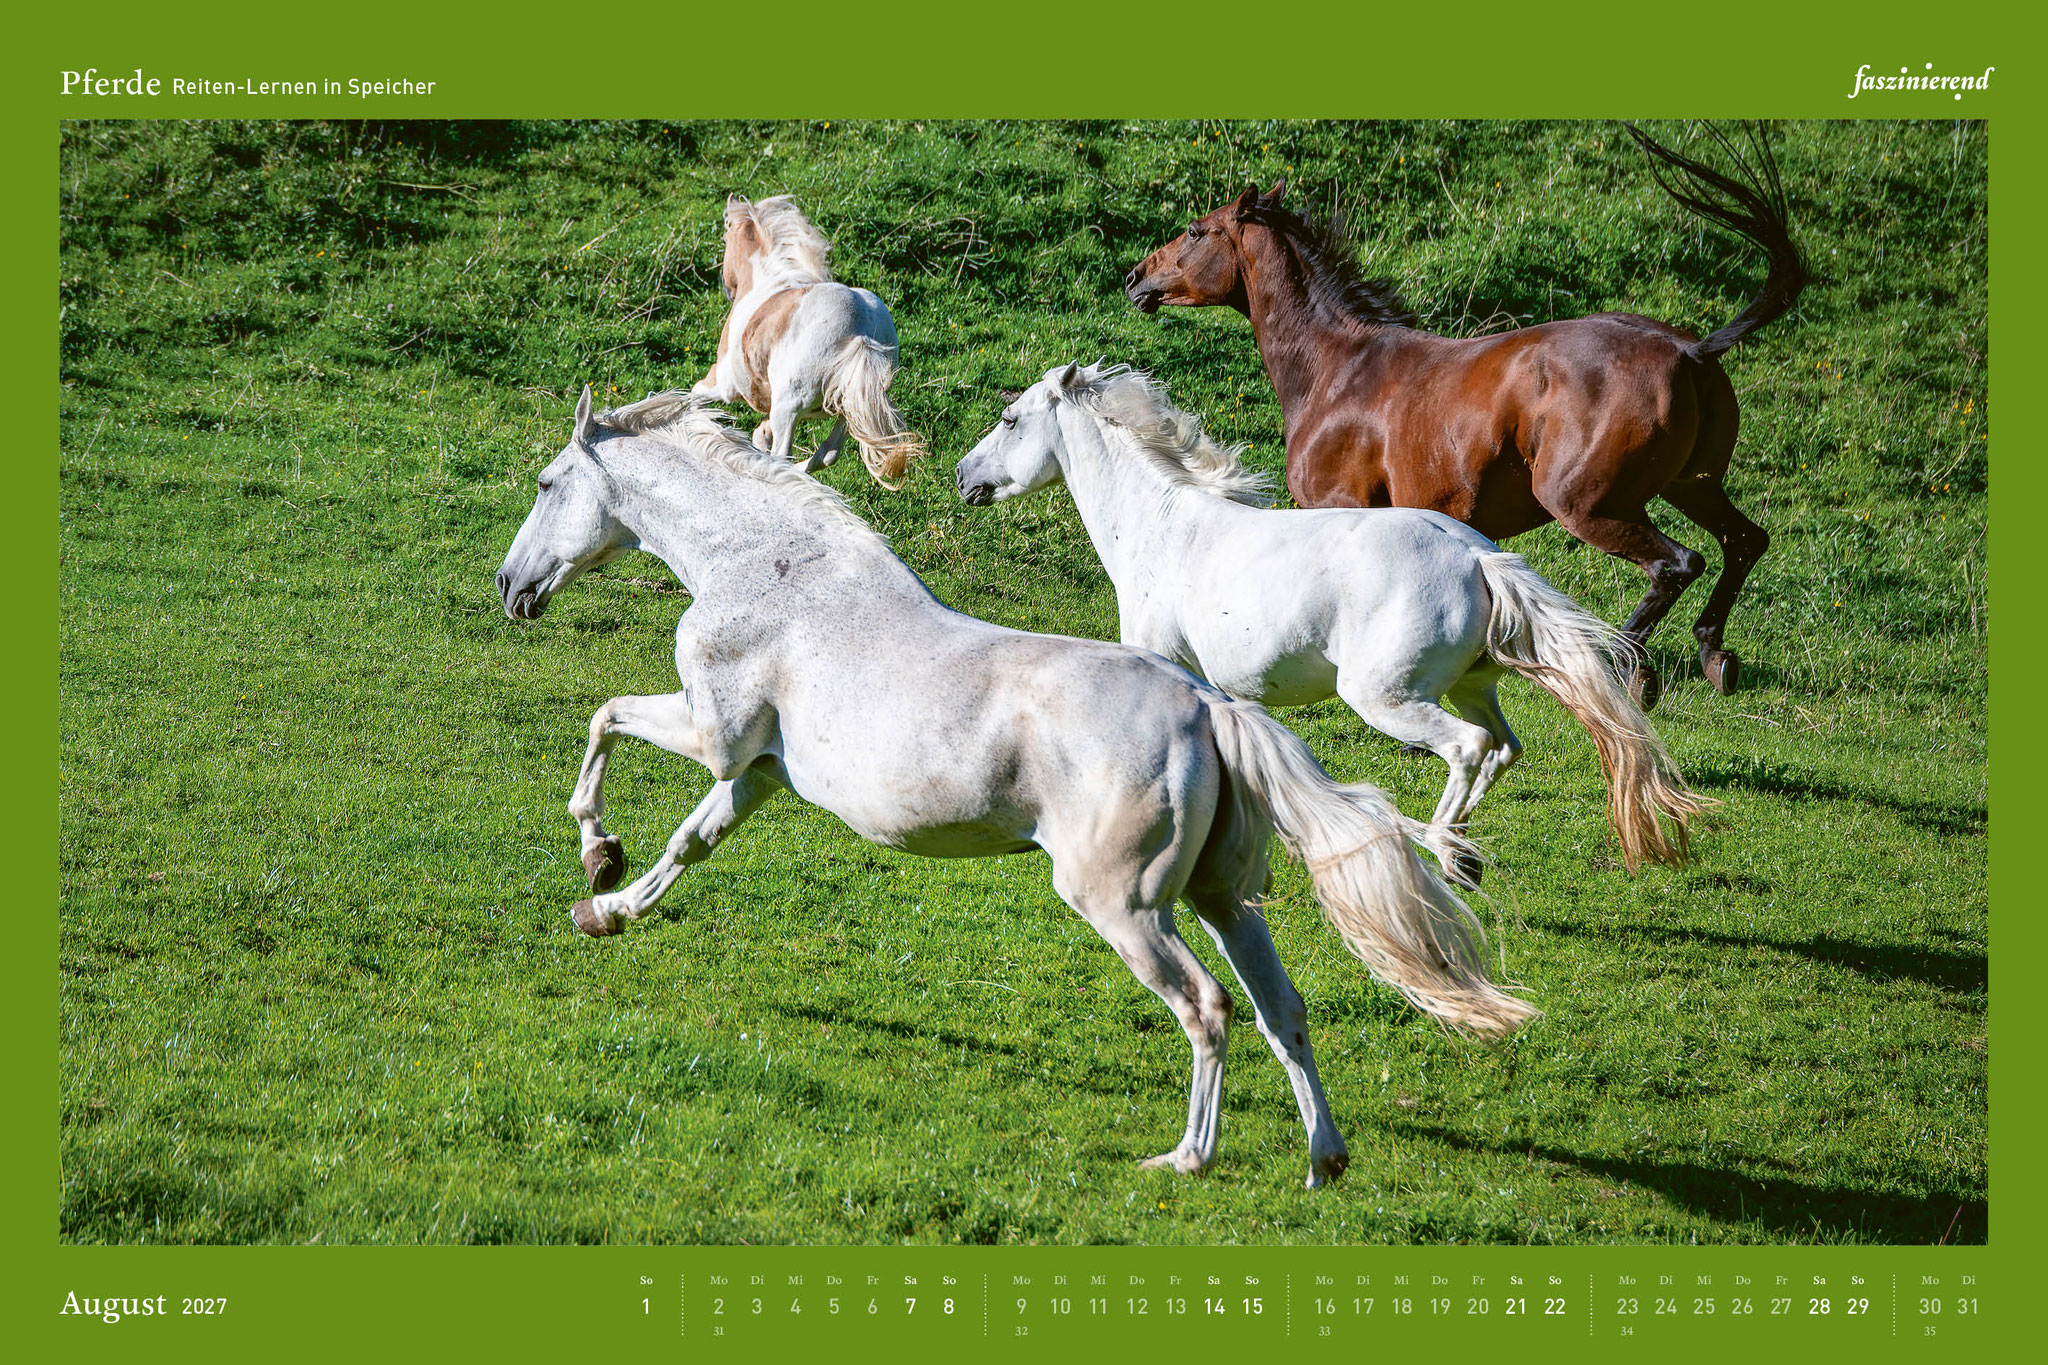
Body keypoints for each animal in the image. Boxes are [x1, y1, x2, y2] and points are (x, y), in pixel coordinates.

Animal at [496, 385, 1537, 1188]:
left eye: (547, 484)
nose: (511, 588)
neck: (771, 570)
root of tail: (1205, 708)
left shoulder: (714, 736)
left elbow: (604, 718)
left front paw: (594, 848)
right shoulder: (756, 772)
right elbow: (689, 842)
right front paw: (607, 905)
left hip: (1126, 905)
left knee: (1208, 1007)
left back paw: (1185, 1159)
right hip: (1222, 899)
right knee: (1284, 1010)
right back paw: (1324, 1158)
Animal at [691, 194, 924, 488]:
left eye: (726, 237)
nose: (726, 288)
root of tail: (859, 331)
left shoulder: (725, 384)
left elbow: (694, 396)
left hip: (788, 410)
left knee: (783, 456)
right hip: (849, 410)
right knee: (828, 453)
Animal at [956, 362, 1710, 885]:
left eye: (1010, 418)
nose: (964, 477)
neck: (1164, 529)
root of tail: (1477, 556)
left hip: (1386, 695)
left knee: (1467, 748)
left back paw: (1440, 847)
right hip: (1472, 684)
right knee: (1503, 747)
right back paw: (1462, 856)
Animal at [1123, 124, 1807, 709]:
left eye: (1194, 230)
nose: (1134, 279)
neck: (1336, 369)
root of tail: (1693, 350)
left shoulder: (1337, 509)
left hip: (1589, 504)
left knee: (1678, 564)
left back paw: (1629, 670)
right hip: (1692, 486)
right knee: (1745, 541)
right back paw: (1715, 657)